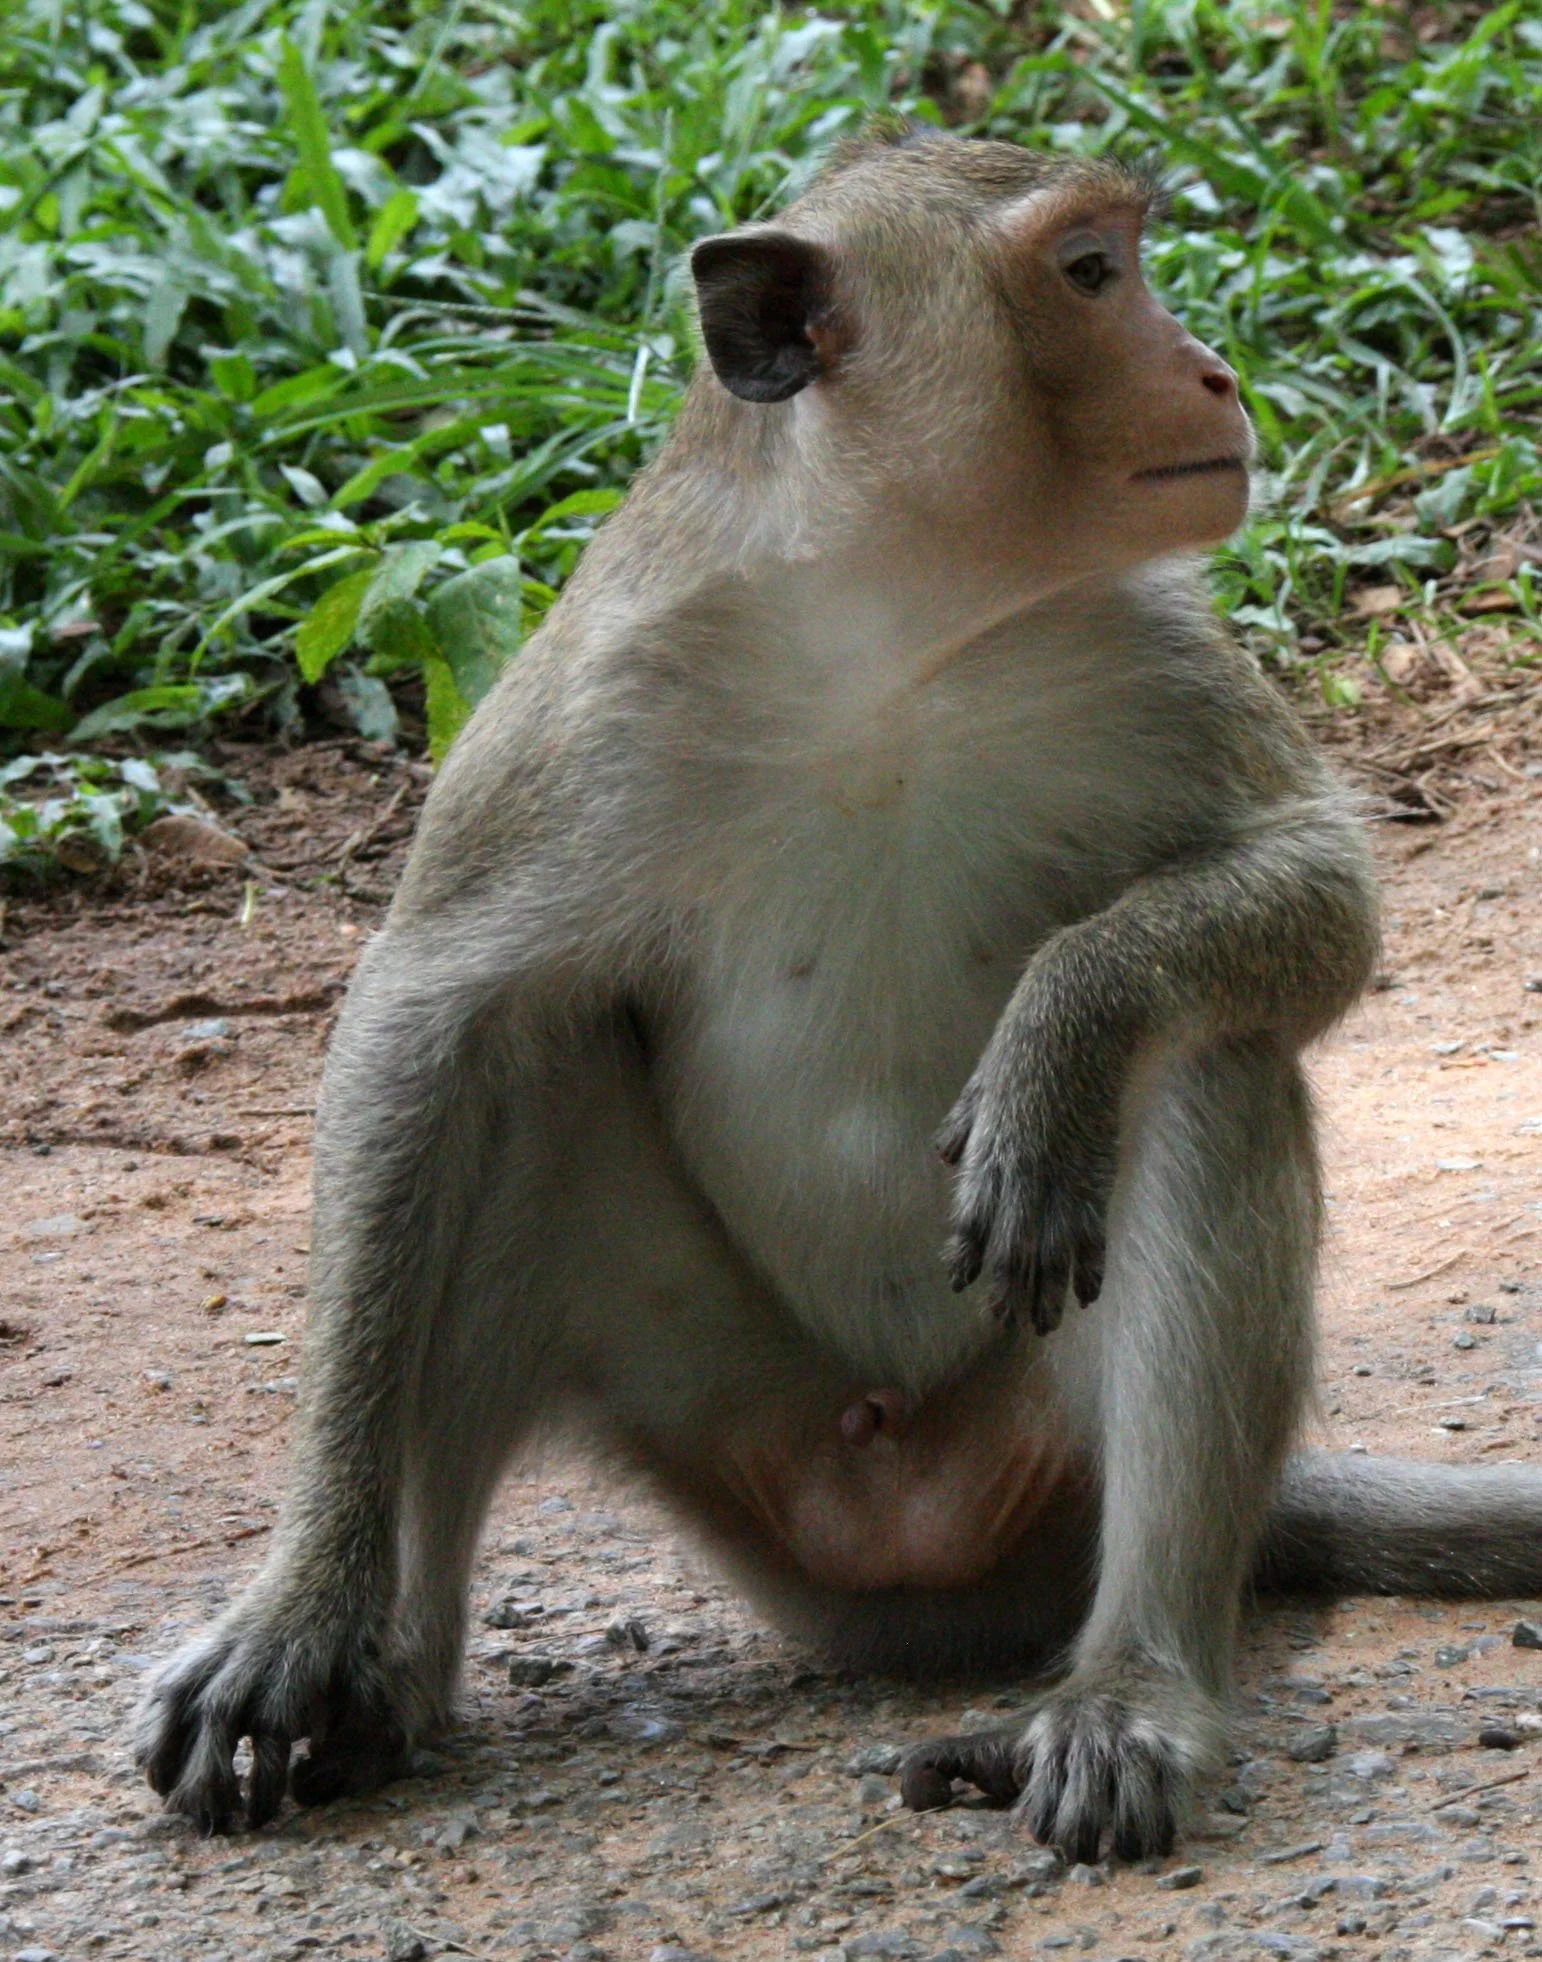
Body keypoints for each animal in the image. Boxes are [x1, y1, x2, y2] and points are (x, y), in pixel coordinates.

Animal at [136, 127, 1542, 1864]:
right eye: (1090, 273)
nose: (1211, 372)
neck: (889, 632)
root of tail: (903, 1522)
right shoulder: (588, 698)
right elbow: (428, 1016)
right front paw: (299, 1607)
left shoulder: (1149, 643)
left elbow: (1318, 891)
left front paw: (1059, 1036)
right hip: (727, 1415)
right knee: (528, 1066)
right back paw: (388, 1679)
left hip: (1037, 1455)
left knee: (1207, 1069)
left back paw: (1130, 1689)